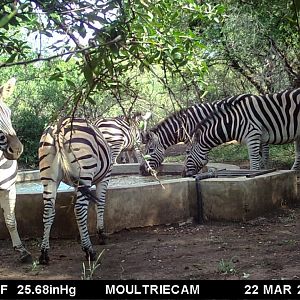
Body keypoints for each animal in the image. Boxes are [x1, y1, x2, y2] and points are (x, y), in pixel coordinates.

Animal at [37, 116, 112, 264]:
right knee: (79, 209)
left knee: (48, 210)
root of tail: (59, 127)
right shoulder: (104, 178)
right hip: (85, 169)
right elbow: (100, 205)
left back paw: (44, 253)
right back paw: (89, 251)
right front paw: (101, 234)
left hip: (49, 178)